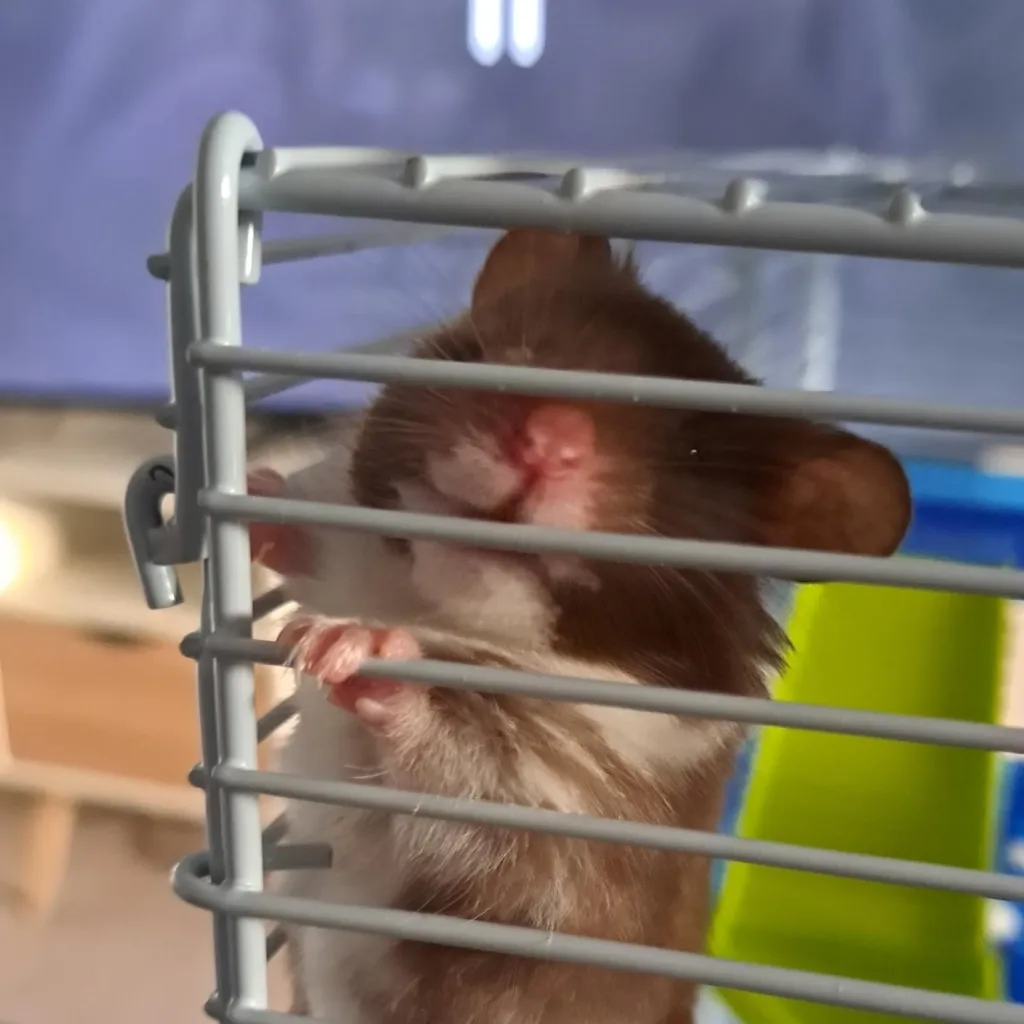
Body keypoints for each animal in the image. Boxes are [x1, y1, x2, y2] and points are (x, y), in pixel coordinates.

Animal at [248, 228, 911, 1024]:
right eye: (518, 350)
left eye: (689, 455)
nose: (544, 442)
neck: (437, 607)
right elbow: (309, 544)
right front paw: (247, 496)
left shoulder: (562, 826)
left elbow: (460, 752)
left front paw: (344, 645)